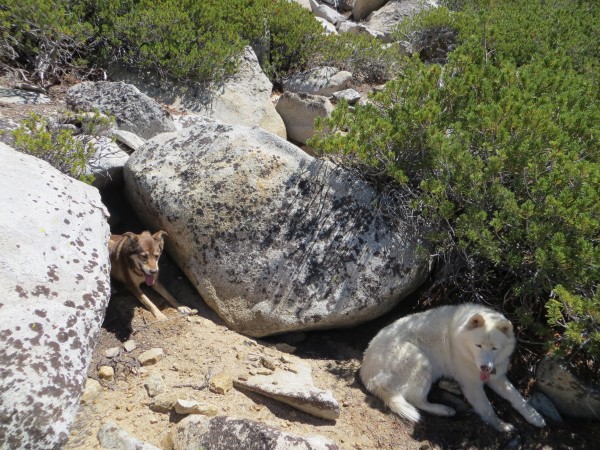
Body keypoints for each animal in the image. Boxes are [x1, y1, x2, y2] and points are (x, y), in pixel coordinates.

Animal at [358, 304, 548, 430]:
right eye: (478, 345)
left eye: (494, 348)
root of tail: (367, 373)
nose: (485, 368)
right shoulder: (472, 384)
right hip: (421, 362)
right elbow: (487, 409)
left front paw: (535, 417)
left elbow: (517, 398)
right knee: (416, 400)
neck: (461, 340)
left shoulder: (497, 377)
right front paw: (501, 425)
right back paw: (443, 410)